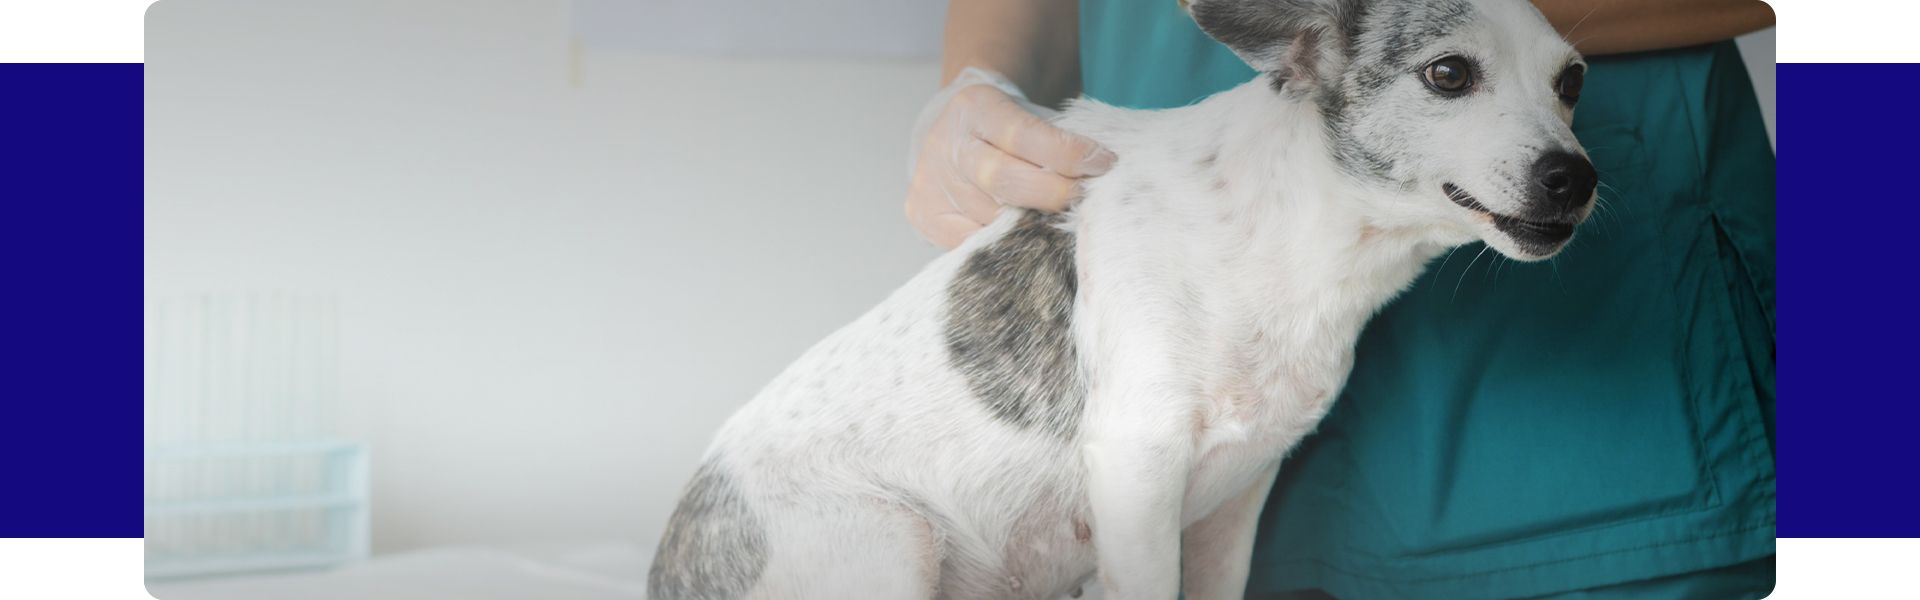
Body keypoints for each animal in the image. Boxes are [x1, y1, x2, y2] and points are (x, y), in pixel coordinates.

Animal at [652, 0, 1597, 596]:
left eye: (1573, 83)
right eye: (1449, 74)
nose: (1576, 177)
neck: (1287, 232)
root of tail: (671, 564)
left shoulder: (1235, 505)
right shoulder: (1138, 473)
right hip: (890, 543)